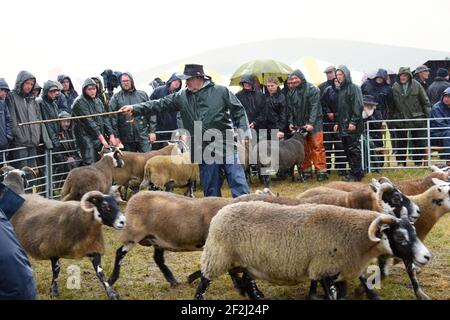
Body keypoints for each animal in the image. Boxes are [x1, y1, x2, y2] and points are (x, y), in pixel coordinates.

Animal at [195, 202, 430, 300]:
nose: (427, 256)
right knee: (203, 284)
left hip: (246, 261)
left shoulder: (346, 266)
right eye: (400, 237)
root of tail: (221, 212)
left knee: (246, 281)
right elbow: (332, 295)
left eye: (414, 232)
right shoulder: (324, 269)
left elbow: (366, 287)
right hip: (217, 256)